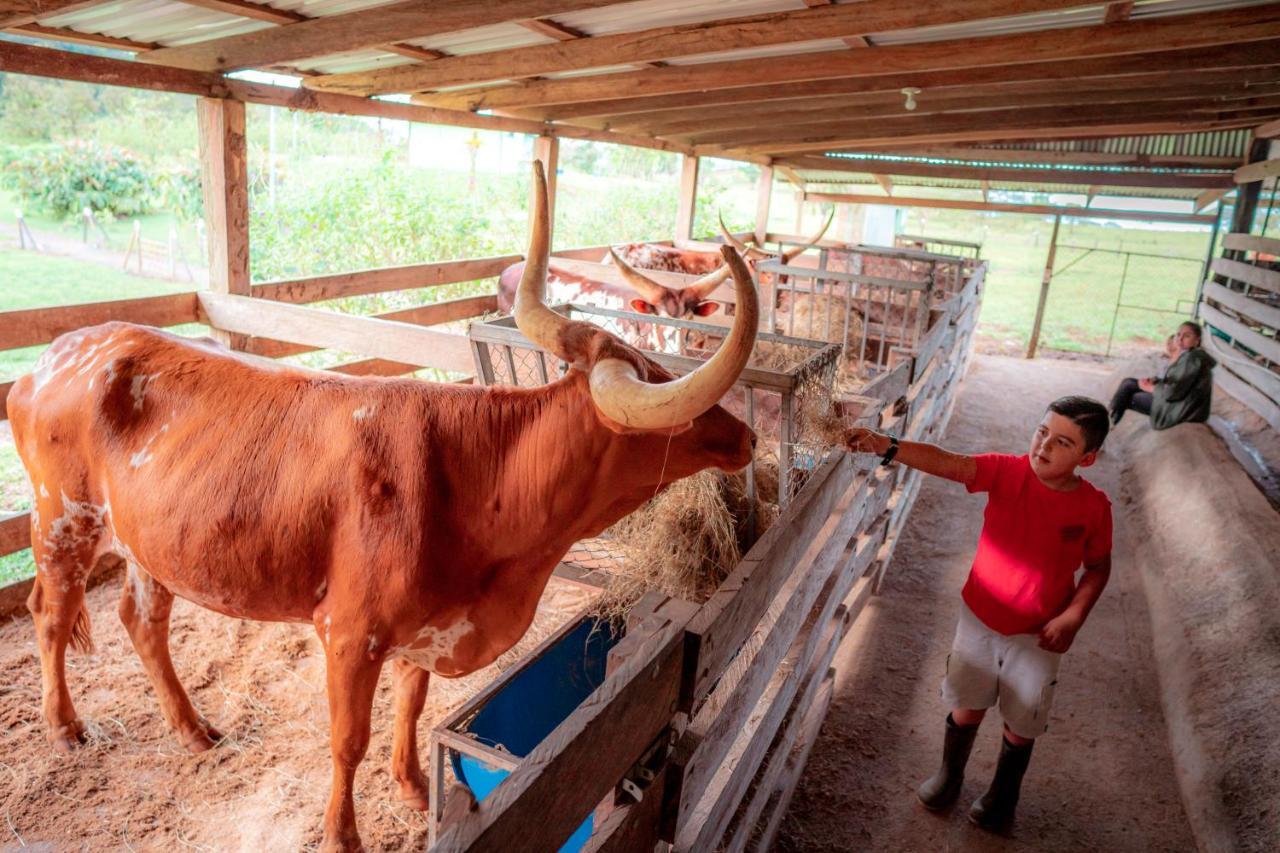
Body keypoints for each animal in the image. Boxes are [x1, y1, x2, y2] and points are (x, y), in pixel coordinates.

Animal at [12, 161, 757, 850]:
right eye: (663, 386)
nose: (746, 434)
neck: (478, 485)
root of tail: (53, 355)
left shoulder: (422, 628)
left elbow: (413, 705)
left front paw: (414, 786)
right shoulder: (349, 633)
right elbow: (349, 740)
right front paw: (343, 834)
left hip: (147, 543)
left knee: (143, 621)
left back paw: (194, 729)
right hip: (62, 524)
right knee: (50, 614)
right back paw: (66, 726)